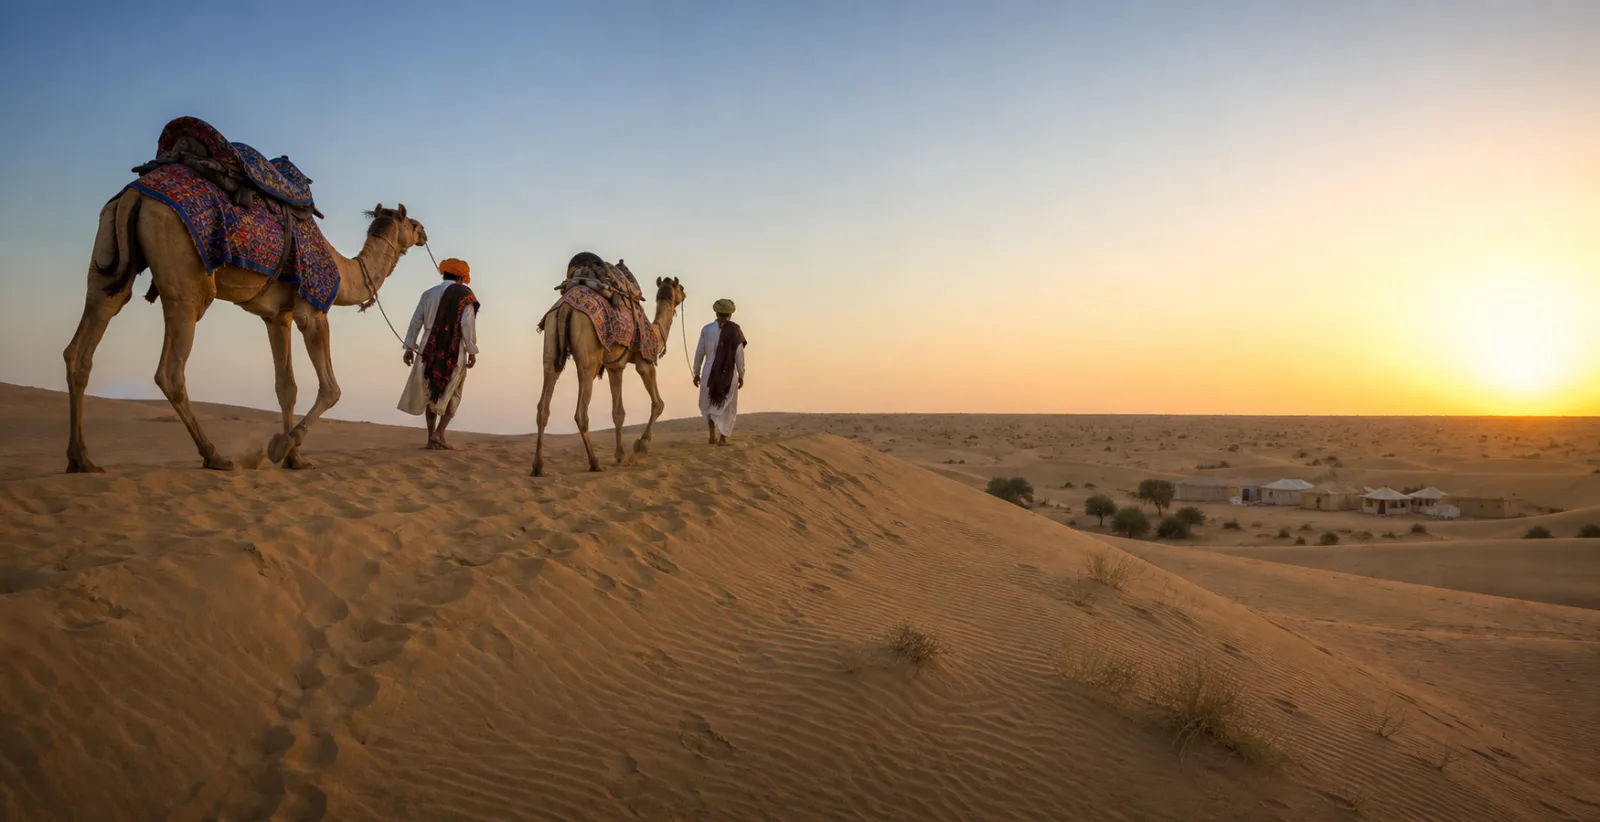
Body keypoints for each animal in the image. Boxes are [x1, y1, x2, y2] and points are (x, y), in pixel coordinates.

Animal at [64, 189, 427, 472]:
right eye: (412, 223)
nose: (424, 233)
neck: (343, 271)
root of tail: (134, 195)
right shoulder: (311, 311)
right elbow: (331, 389)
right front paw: (284, 445)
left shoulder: (278, 317)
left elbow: (286, 388)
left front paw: (295, 458)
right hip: (184, 282)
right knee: (170, 371)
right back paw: (213, 456)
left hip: (108, 254)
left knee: (82, 344)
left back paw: (81, 459)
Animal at [533, 276, 687, 476]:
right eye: (680, 287)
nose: (684, 294)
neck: (655, 332)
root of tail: (567, 306)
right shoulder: (645, 361)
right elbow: (658, 404)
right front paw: (639, 449)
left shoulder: (615, 367)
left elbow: (618, 412)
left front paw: (619, 456)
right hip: (588, 362)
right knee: (581, 413)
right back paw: (595, 463)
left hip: (551, 344)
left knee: (543, 404)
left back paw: (538, 466)